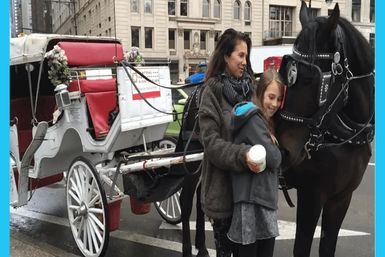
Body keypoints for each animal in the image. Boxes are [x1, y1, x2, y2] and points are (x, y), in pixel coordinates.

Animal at [274, 2, 374, 256]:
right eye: (287, 73)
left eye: (313, 79)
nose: (285, 150)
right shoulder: (311, 195)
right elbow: (301, 247)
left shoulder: (341, 198)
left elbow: (328, 246)